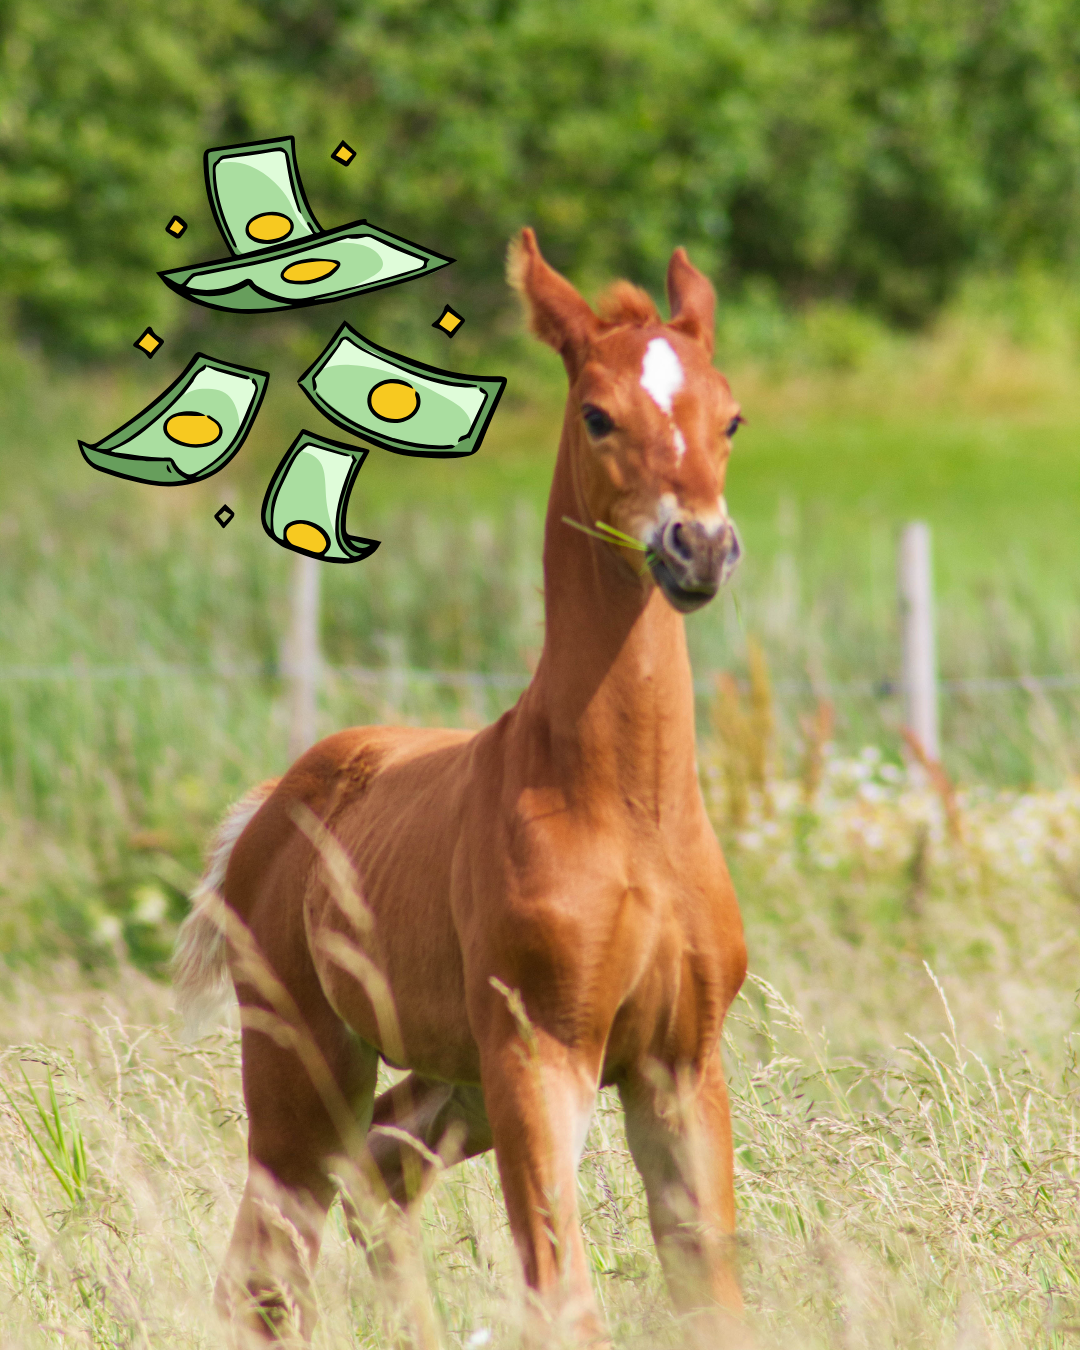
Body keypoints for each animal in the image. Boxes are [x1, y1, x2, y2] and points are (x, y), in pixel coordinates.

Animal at [174, 227, 748, 1346]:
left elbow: (713, 1288)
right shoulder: (541, 1053)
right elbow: (562, 1293)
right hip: (307, 1065)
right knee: (270, 1260)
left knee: (377, 1177)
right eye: (598, 414)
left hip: (453, 1077)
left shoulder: (679, 1062)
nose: (697, 547)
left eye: (729, 416)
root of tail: (274, 804)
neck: (628, 810)